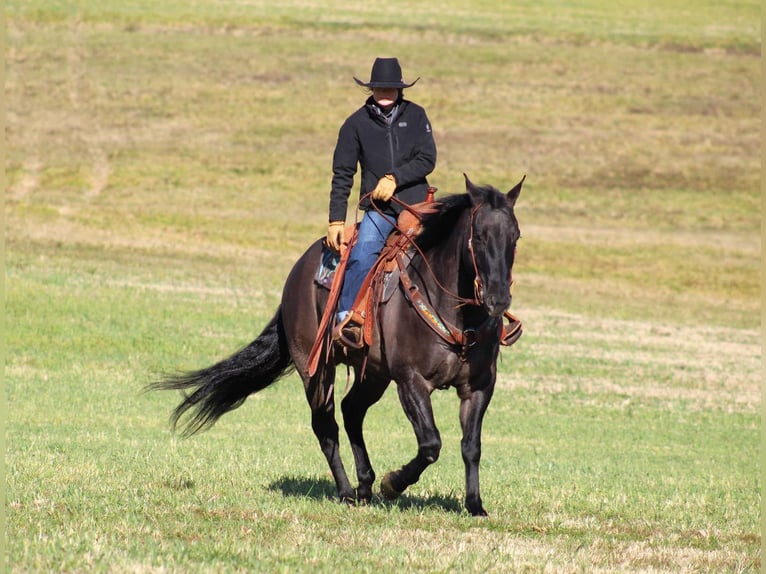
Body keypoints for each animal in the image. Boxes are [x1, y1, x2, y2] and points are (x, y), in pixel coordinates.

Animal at [149, 176, 520, 516]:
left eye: (515, 237)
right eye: (480, 236)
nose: (498, 298)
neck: (451, 307)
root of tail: (298, 271)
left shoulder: (479, 387)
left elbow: (471, 446)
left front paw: (475, 506)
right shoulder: (411, 382)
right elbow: (430, 443)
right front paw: (393, 483)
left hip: (373, 374)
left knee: (352, 410)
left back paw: (365, 485)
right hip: (315, 369)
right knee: (326, 426)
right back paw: (347, 492)